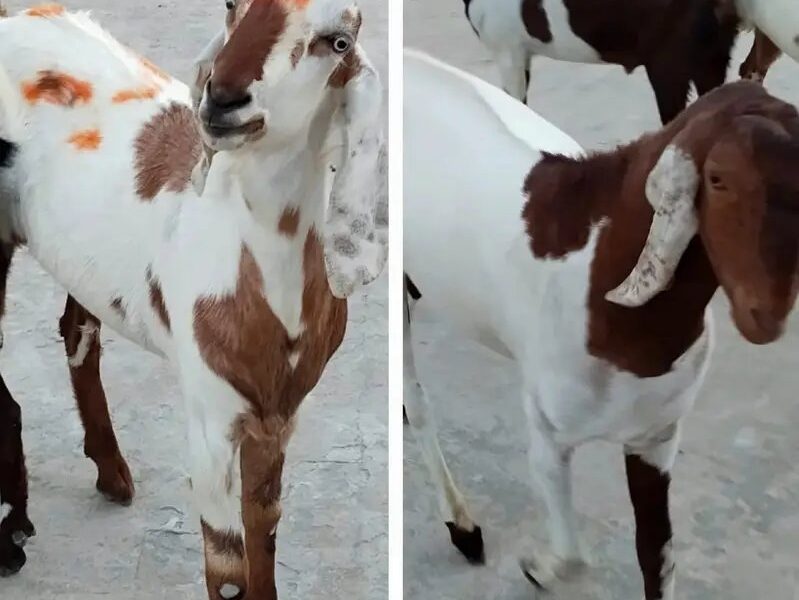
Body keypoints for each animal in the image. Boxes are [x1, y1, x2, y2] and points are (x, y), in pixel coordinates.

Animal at [0, 2, 386, 598]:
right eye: (230, 8)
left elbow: (264, 532)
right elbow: (226, 569)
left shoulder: (279, 417)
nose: (223, 99)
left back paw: (109, 473)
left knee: (77, 328)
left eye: (338, 40)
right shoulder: (210, 418)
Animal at [404, 48, 799, 600]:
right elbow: (574, 559)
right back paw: (463, 527)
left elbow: (657, 559)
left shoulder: (656, 437)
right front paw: (537, 567)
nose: (767, 313)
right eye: (717, 178)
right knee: (416, 404)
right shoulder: (549, 435)